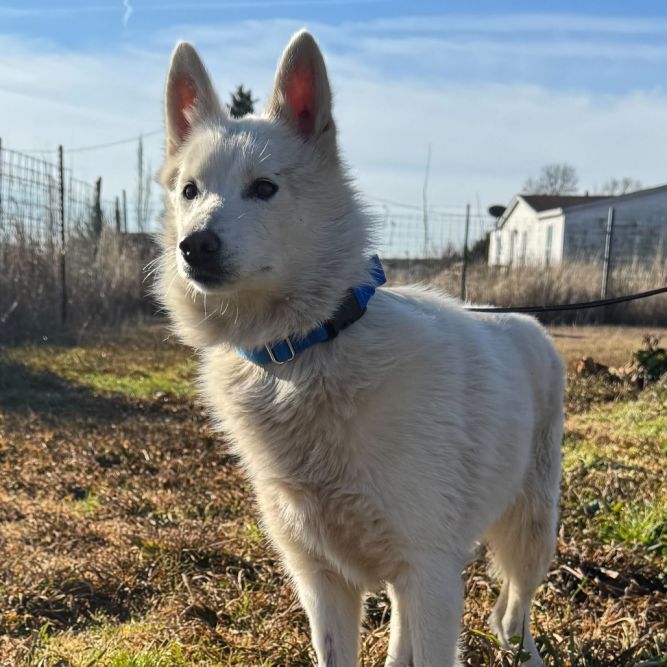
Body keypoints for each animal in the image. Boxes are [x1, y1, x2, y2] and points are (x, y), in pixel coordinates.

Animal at [155, 30, 564, 667]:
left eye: (264, 188)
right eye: (190, 191)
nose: (194, 246)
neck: (305, 351)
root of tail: (528, 323)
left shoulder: (432, 574)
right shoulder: (322, 581)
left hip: (531, 531)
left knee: (514, 612)